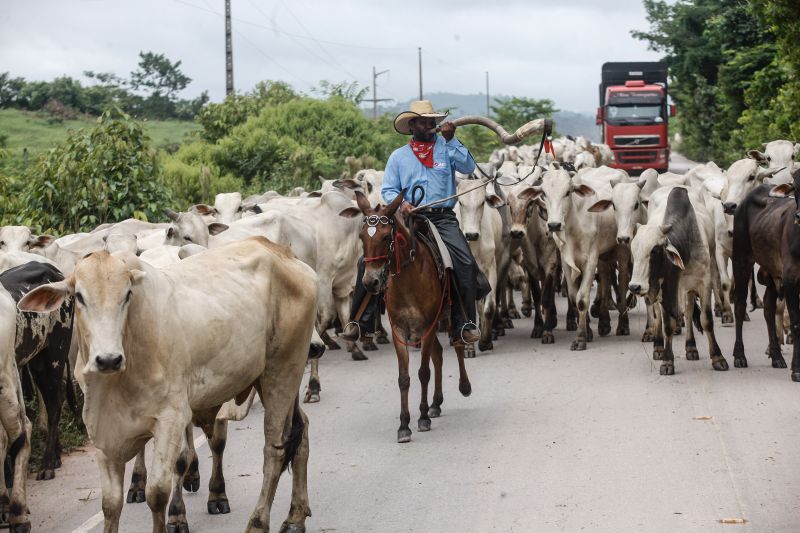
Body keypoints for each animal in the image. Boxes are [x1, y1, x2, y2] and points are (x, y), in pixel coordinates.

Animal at [340, 190, 476, 440]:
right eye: (362, 238)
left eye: (386, 237)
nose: (371, 282)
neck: (408, 279)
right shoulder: (399, 330)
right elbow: (404, 378)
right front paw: (404, 425)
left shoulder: (428, 326)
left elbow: (423, 372)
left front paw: (421, 419)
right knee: (439, 355)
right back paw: (435, 403)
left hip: (447, 317)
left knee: (458, 345)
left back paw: (464, 386)